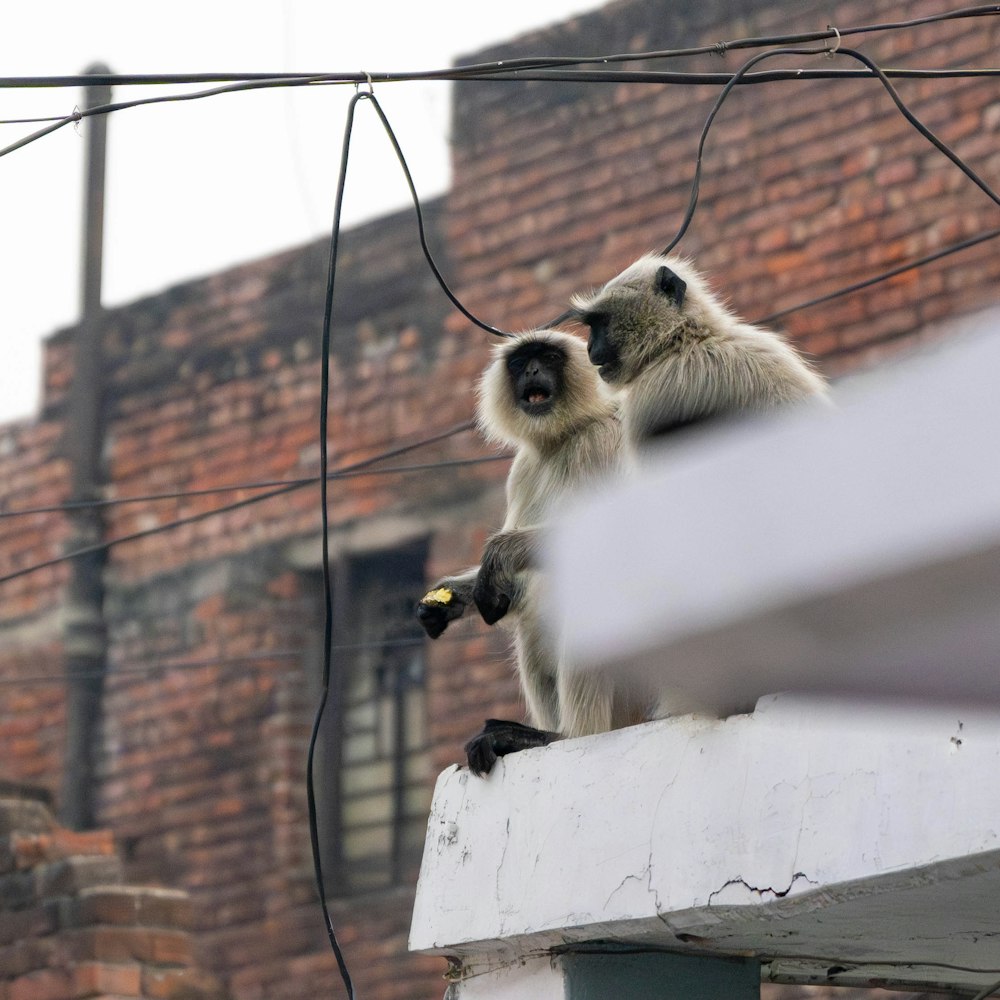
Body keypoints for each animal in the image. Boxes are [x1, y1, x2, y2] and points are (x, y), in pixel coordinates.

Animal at [416, 328, 644, 772]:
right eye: (523, 362)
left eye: (549, 357)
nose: (534, 371)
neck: (561, 439)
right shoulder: (523, 469)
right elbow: (509, 592)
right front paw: (447, 602)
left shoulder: (602, 441)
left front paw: (498, 554)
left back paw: (569, 735)